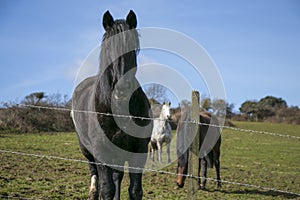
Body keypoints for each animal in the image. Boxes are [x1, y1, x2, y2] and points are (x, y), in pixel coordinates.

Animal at [71, 10, 152, 199]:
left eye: (133, 48)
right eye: (109, 48)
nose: (122, 89)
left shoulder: (139, 150)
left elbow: (135, 190)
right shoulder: (102, 152)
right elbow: (106, 189)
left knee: (117, 176)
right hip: (87, 151)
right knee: (95, 175)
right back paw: (93, 192)